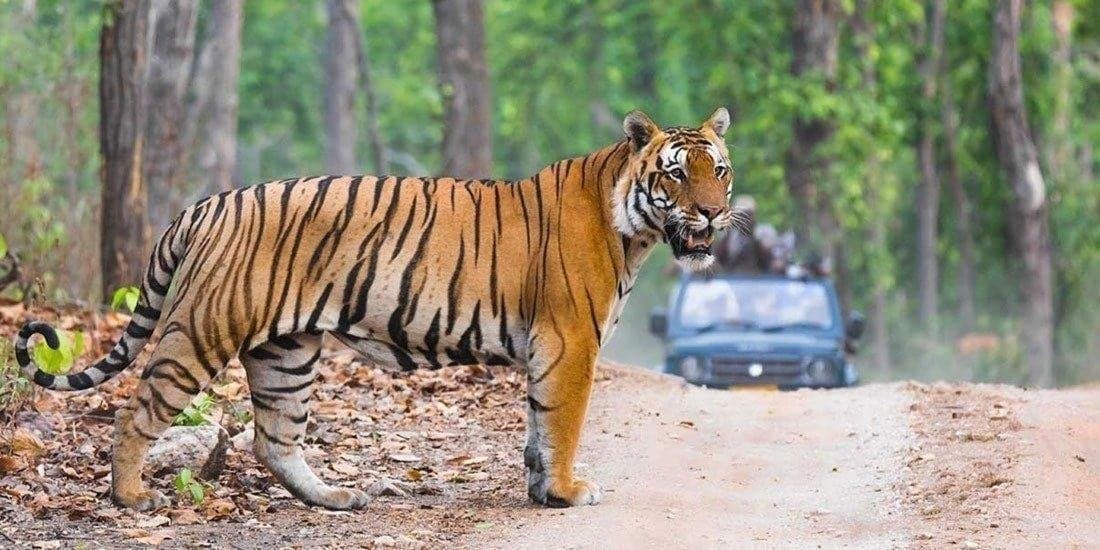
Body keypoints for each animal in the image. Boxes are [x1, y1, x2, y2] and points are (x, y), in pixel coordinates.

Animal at [14, 108, 735, 511]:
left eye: (719, 171)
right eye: (676, 173)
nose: (713, 213)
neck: (632, 229)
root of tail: (207, 202)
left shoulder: (551, 348)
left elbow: (538, 428)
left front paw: (540, 492)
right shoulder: (570, 342)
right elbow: (562, 424)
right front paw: (564, 493)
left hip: (286, 353)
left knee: (275, 441)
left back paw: (337, 498)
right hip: (203, 330)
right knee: (138, 410)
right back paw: (131, 496)